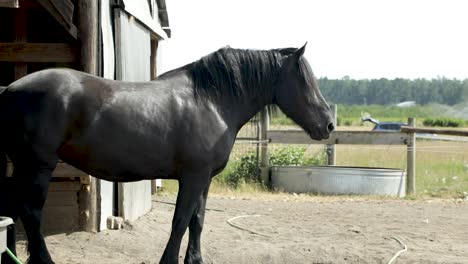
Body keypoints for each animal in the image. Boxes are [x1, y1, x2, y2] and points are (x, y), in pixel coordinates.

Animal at [1, 44, 334, 262]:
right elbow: (181, 221)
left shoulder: (204, 179)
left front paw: (194, 260)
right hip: (38, 165)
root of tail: (10, 90)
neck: (211, 101)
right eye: (304, 80)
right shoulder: (192, 177)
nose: (328, 125)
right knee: (30, 212)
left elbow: (197, 221)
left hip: (22, 165)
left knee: (11, 210)